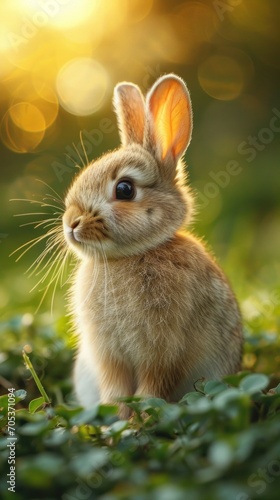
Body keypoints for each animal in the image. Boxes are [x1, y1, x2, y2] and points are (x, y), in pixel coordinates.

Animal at [62, 73, 242, 418]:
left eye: (124, 189)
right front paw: (116, 418)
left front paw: (140, 417)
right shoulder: (109, 357)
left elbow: (153, 385)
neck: (131, 256)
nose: (71, 223)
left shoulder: (164, 350)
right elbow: (116, 388)